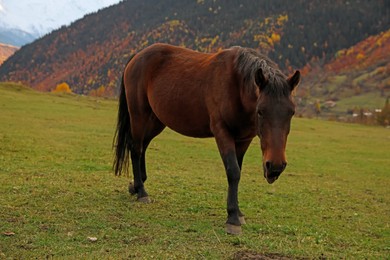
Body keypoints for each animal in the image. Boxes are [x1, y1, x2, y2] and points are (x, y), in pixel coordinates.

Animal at [113, 42, 302, 234]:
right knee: (136, 148)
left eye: (291, 112)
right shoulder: (222, 132)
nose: (275, 167)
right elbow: (233, 172)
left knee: (143, 145)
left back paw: (136, 186)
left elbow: (238, 171)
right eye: (261, 111)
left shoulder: (243, 140)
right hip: (139, 115)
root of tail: (138, 56)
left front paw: (238, 213)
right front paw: (232, 218)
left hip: (156, 120)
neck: (236, 84)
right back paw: (141, 192)